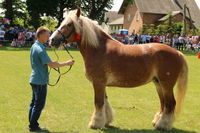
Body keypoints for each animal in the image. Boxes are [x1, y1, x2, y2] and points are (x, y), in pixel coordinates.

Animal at [49, 9, 188, 131]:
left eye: (69, 24)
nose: (52, 40)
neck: (98, 49)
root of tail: (177, 53)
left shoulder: (98, 83)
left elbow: (98, 102)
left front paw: (95, 123)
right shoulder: (101, 84)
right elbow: (105, 102)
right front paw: (106, 121)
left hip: (166, 85)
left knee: (170, 104)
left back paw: (162, 125)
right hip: (158, 83)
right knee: (163, 103)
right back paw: (157, 122)